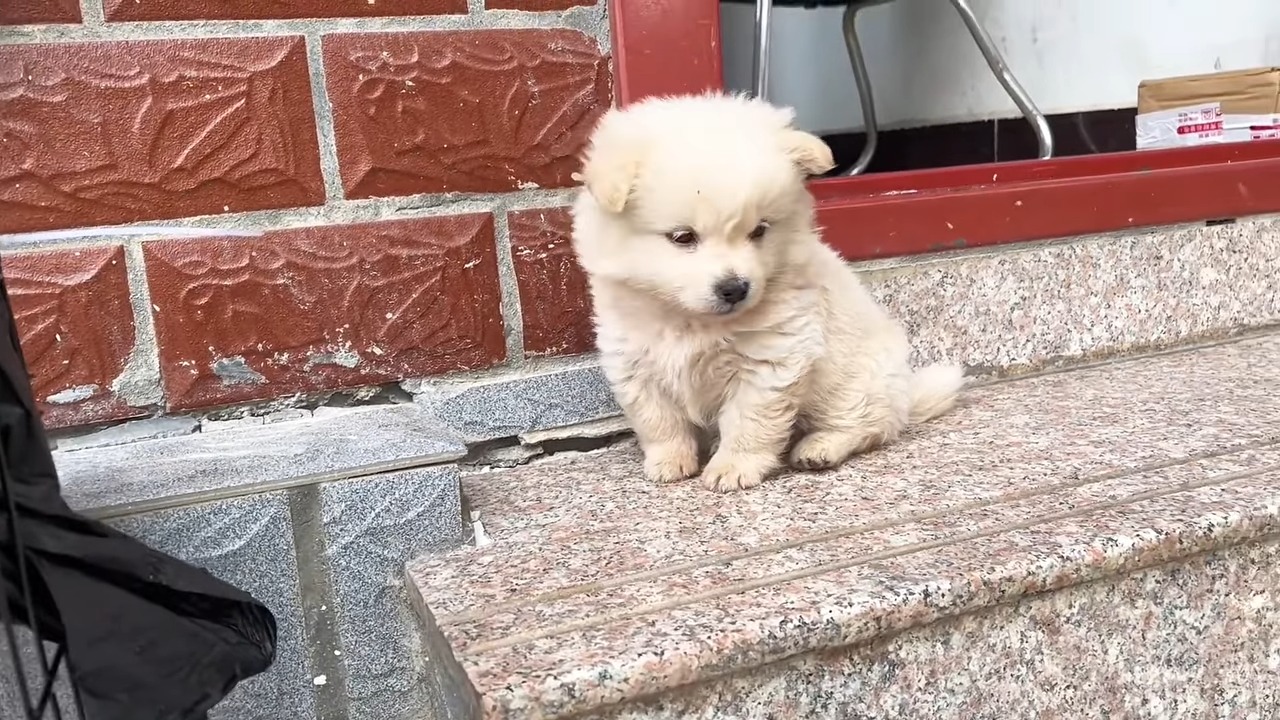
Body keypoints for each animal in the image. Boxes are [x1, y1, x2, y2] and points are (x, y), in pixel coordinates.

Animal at [570, 92, 962, 489]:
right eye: (683, 237)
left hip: (855, 385)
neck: (691, 320)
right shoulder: (634, 362)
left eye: (759, 230)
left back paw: (820, 447)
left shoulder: (770, 359)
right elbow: (659, 421)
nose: (735, 288)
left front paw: (734, 467)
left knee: (868, 425)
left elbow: (749, 421)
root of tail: (906, 396)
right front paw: (668, 461)